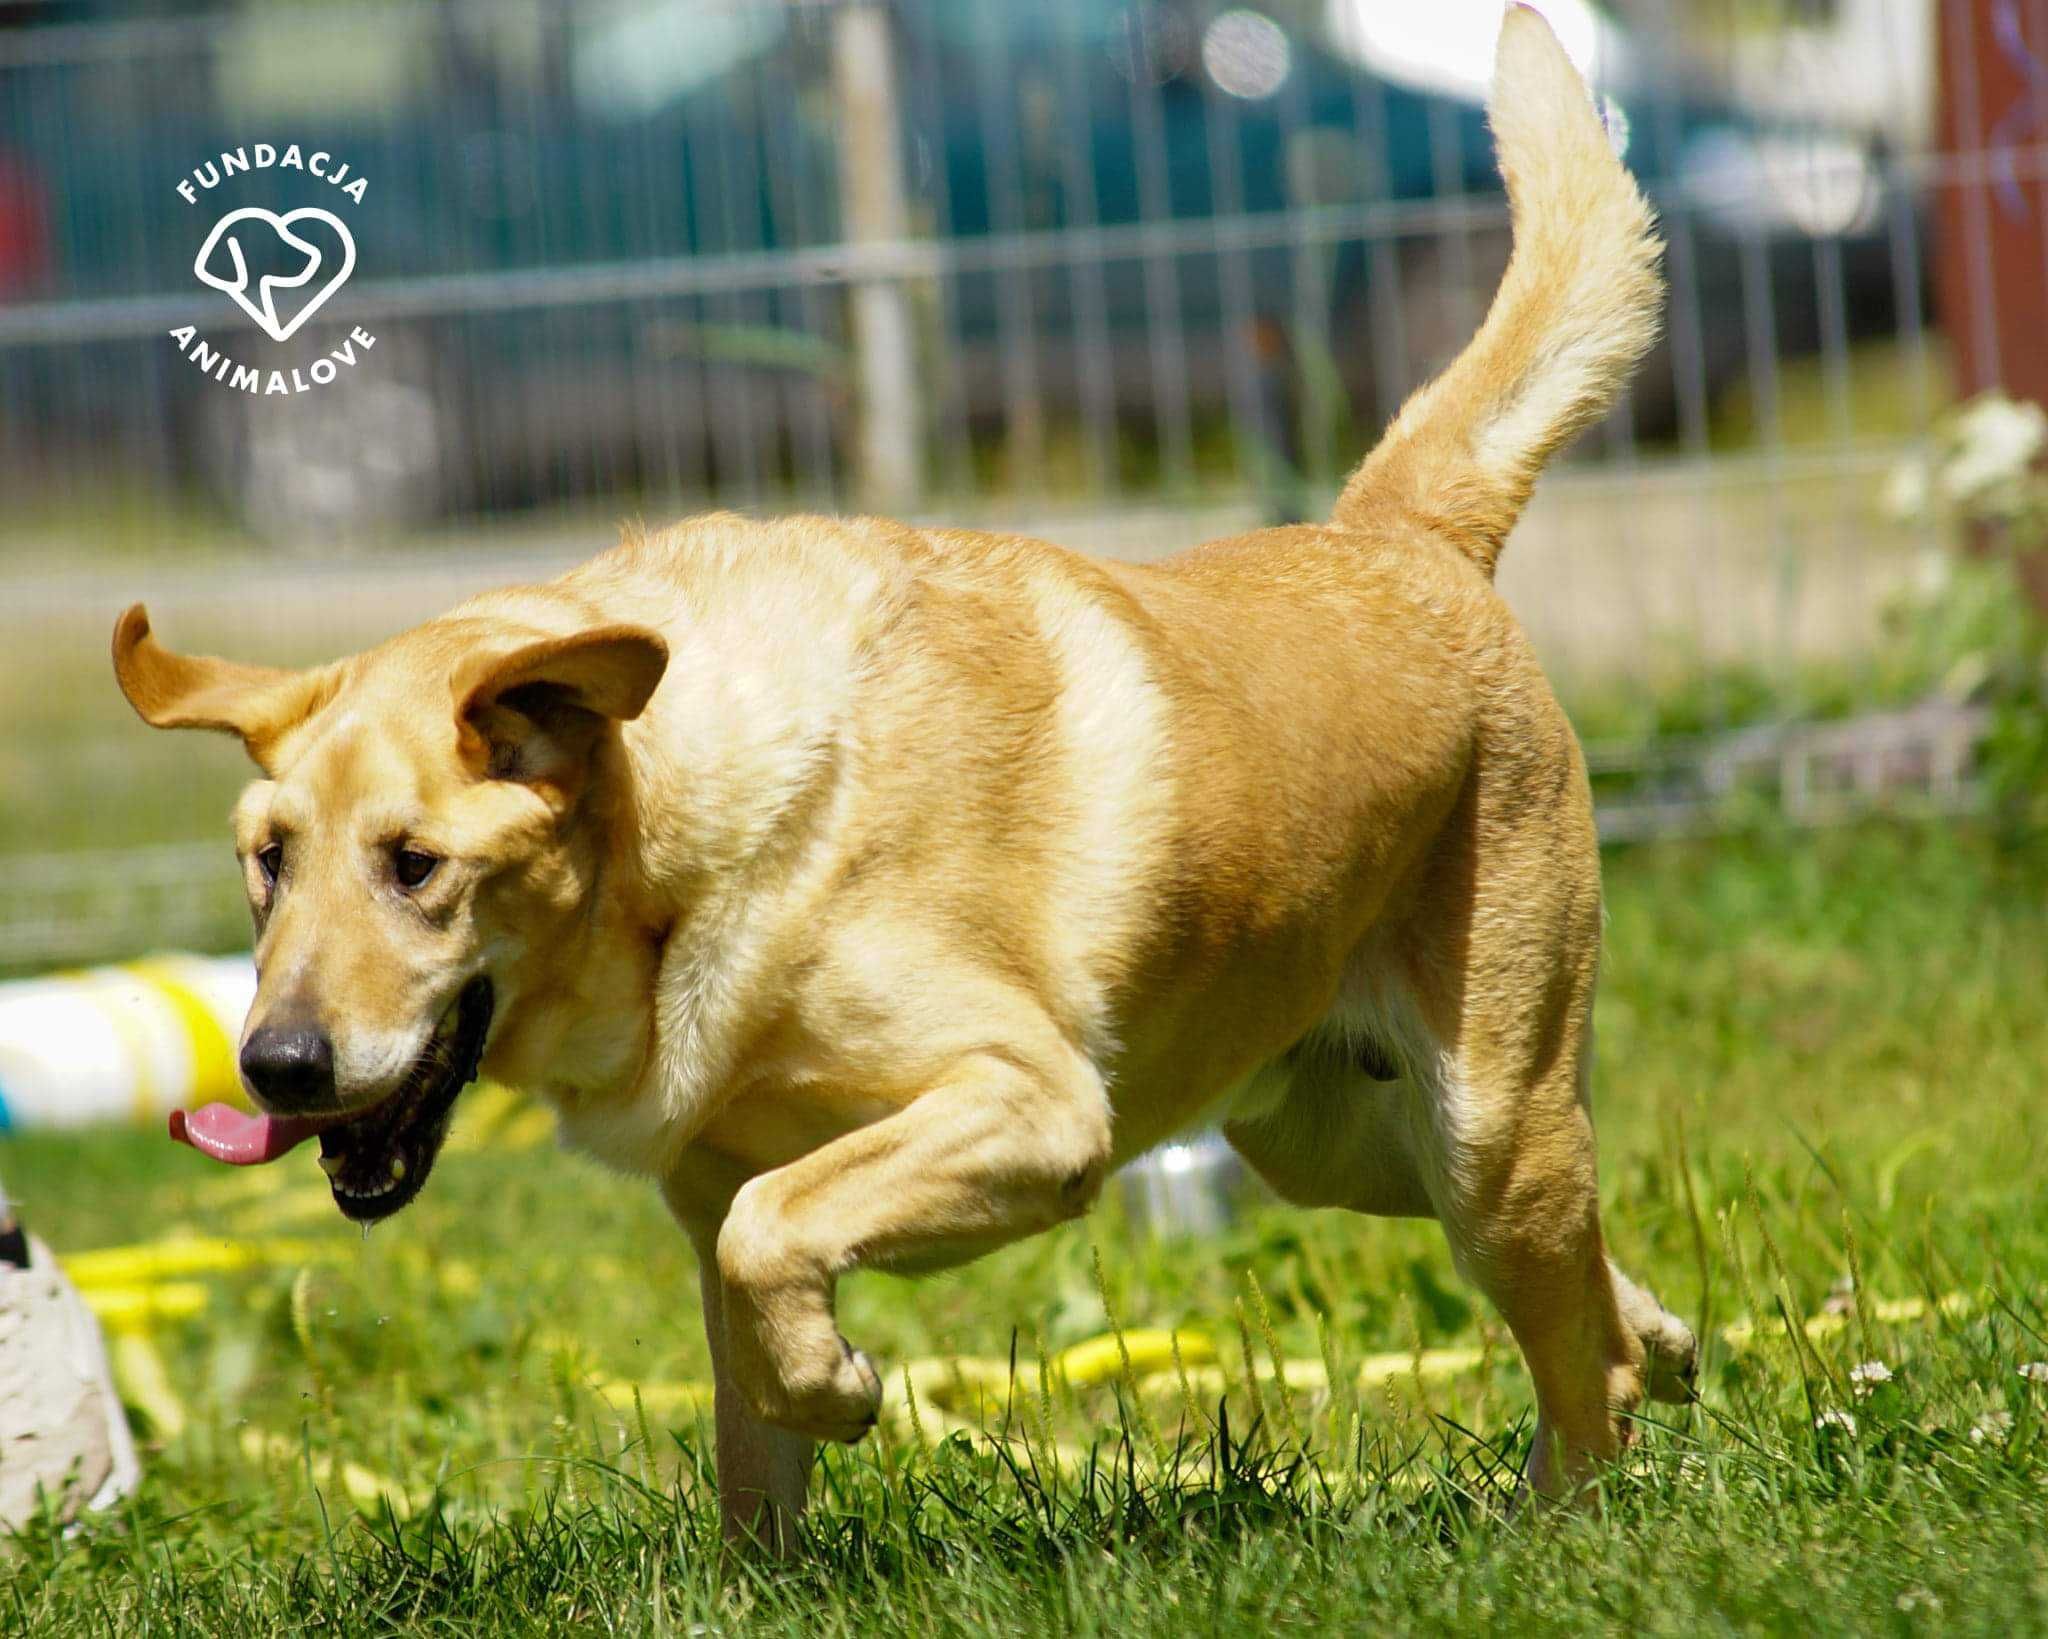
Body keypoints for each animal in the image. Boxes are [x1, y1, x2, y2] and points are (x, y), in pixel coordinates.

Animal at [112, 12, 1695, 1540]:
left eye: (416, 864)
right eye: (266, 860)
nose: (274, 1065)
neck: (683, 870)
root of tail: (1401, 535)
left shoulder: (1032, 1105)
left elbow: (775, 1234)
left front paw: (845, 1387)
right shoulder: (709, 1191)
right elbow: (747, 1414)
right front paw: (772, 1526)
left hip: (1485, 1124)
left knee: (1569, 1356)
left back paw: (1560, 1520)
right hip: (1327, 1132)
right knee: (1587, 1295)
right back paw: (1669, 1347)